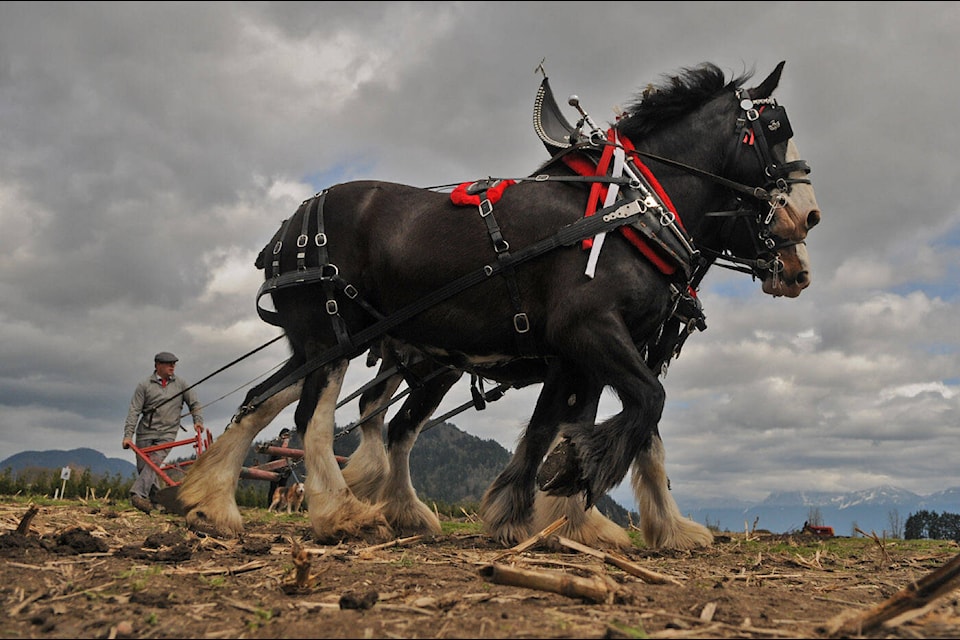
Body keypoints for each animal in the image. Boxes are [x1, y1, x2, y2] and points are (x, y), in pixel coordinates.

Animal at [182, 61, 824, 552]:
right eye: (776, 127)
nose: (806, 223)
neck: (631, 212)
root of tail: (289, 228)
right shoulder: (590, 331)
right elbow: (642, 408)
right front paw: (572, 483)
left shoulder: (586, 355)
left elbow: (586, 429)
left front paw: (569, 515)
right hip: (336, 336)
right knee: (313, 417)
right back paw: (341, 511)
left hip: (347, 347)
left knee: (271, 402)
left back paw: (214, 503)